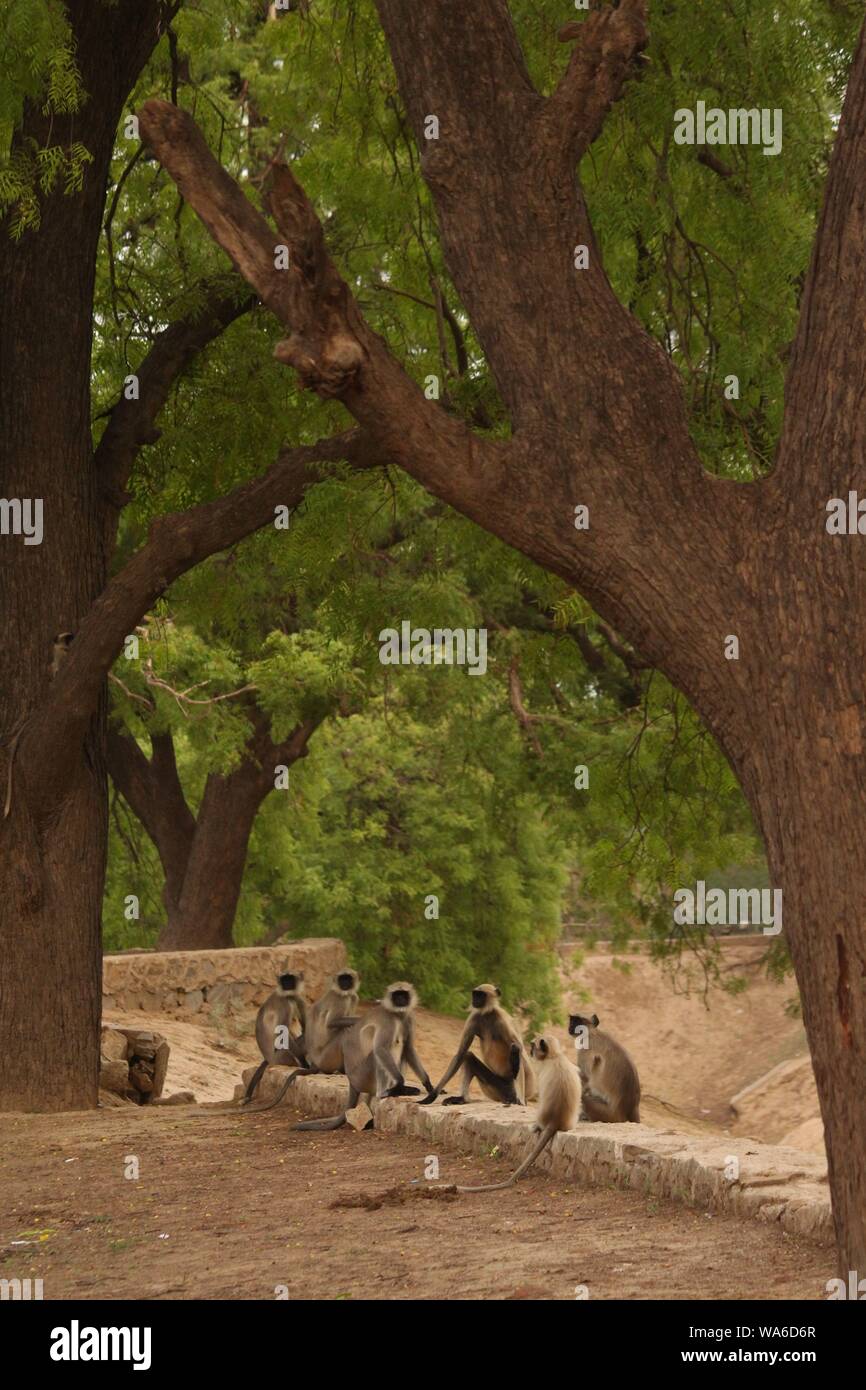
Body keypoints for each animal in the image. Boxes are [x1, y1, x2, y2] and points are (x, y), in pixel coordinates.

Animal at [294, 984, 436, 1134]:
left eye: (404, 994)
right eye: (396, 995)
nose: (400, 1000)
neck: (397, 1015)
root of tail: (352, 1081)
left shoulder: (408, 1019)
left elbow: (409, 1048)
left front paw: (428, 1085)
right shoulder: (387, 1020)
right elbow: (380, 1048)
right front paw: (400, 1083)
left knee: (401, 1048)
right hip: (362, 1076)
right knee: (376, 1054)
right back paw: (386, 1092)